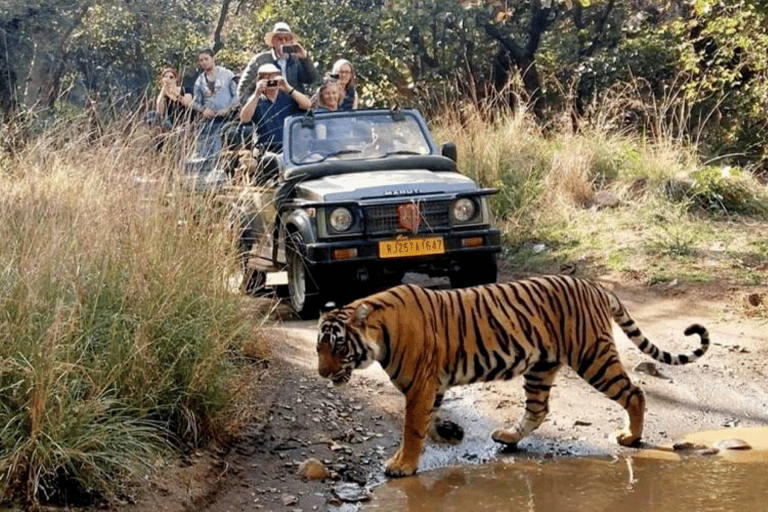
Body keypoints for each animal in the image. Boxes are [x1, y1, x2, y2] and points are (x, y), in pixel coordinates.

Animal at [316, 274, 712, 478]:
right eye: (318, 349)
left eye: (337, 347)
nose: (322, 373)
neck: (379, 335)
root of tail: (595, 285)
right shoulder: (431, 385)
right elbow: (428, 420)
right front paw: (449, 432)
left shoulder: (421, 385)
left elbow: (412, 428)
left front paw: (402, 465)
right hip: (541, 367)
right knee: (538, 410)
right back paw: (507, 437)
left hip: (592, 356)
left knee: (634, 392)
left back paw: (631, 437)